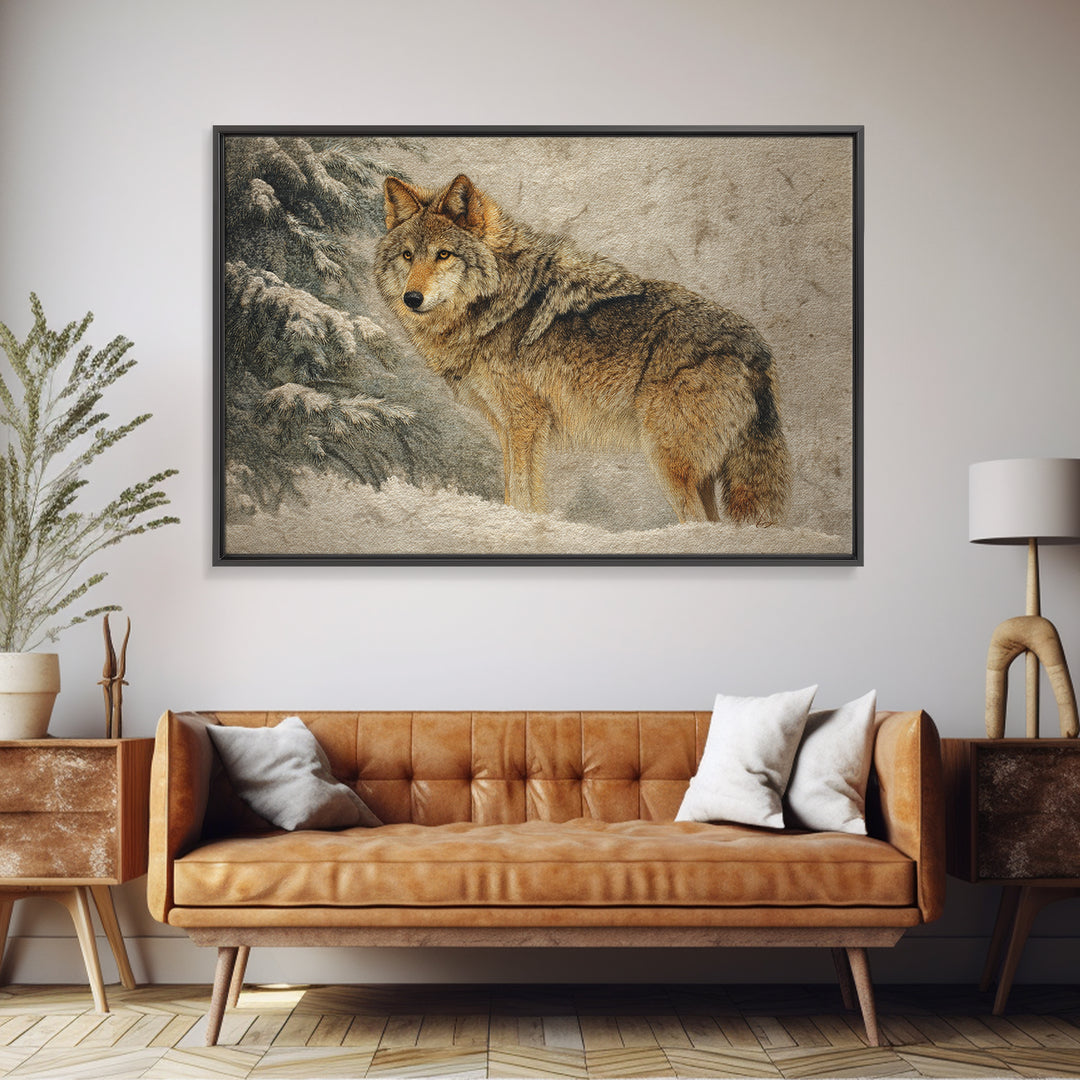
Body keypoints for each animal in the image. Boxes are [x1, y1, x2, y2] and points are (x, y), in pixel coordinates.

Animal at [374, 173, 789, 525]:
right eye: (408, 256)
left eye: (443, 254)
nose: (412, 298)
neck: (496, 303)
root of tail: (757, 348)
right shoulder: (506, 426)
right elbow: (513, 490)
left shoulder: (526, 422)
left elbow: (522, 493)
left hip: (667, 461)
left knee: (697, 522)